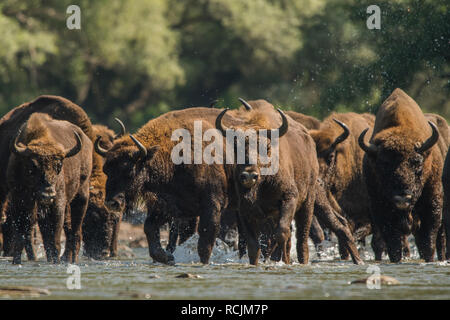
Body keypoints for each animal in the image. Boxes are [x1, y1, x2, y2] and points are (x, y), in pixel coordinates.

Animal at [358, 88, 446, 262]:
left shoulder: (432, 204)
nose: (402, 198)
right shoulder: (381, 210)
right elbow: (394, 244)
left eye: (417, 162)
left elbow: (428, 242)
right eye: (383, 164)